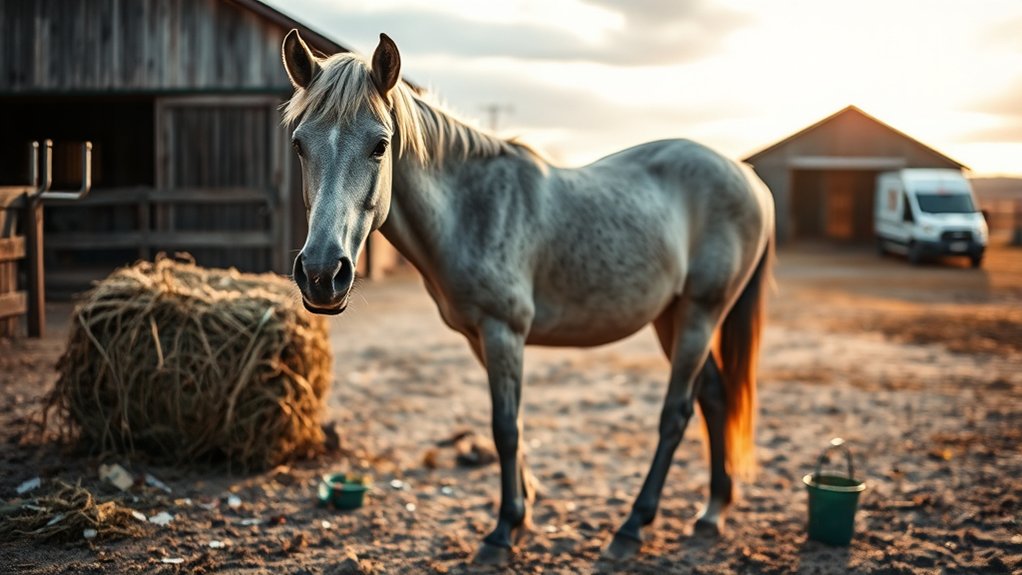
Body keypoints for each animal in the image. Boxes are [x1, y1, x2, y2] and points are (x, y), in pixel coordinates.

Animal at [280, 30, 774, 565]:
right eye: (299, 144)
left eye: (380, 145)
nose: (322, 273)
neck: (471, 207)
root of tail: (749, 178)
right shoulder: (482, 336)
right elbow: (510, 423)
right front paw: (522, 515)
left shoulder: (504, 332)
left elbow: (505, 428)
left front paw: (502, 530)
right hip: (673, 316)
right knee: (714, 397)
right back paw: (713, 509)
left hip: (702, 313)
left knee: (676, 414)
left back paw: (632, 527)